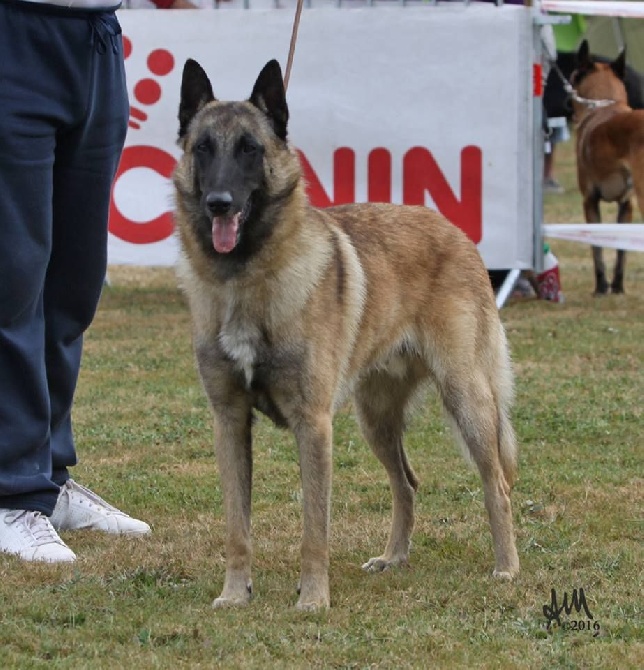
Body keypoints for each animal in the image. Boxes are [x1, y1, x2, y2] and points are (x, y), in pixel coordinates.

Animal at [170, 60, 520, 612]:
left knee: (496, 484)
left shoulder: (313, 426)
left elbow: (315, 530)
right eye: (203, 147)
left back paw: (506, 566)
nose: (219, 204)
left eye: (250, 148)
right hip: (375, 418)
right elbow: (237, 527)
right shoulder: (229, 422)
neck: (247, 280)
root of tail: (453, 228)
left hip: (466, 399)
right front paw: (234, 593)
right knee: (406, 484)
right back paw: (394, 557)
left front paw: (313, 599)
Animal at [572, 40, 644, 294]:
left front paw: (602, 287)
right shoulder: (627, 205)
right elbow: (621, 250)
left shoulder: (589, 201)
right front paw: (618, 287)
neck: (604, 106)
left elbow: (597, 248)